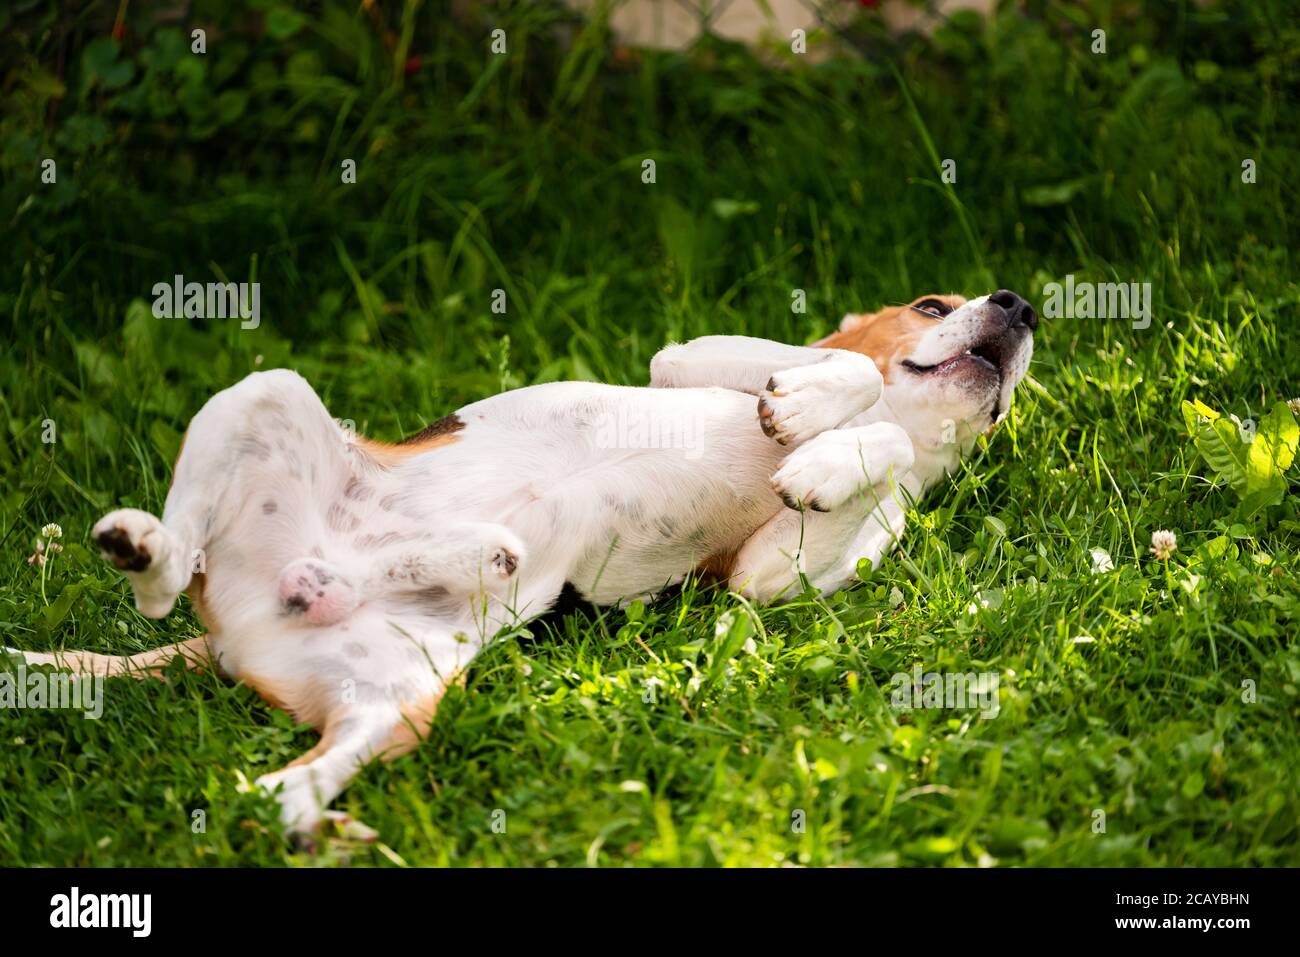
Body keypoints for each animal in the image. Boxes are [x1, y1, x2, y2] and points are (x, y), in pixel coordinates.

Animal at [5, 287, 1029, 832]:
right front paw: (812, 413)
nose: (1019, 306)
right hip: (266, 392)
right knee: (169, 567)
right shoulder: (691, 357)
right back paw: (144, 546)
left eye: (1006, 405)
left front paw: (828, 460)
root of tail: (237, 634)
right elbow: (841, 371)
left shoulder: (764, 574)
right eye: (932, 305)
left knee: (306, 768)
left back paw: (297, 809)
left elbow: (865, 476)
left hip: (396, 694)